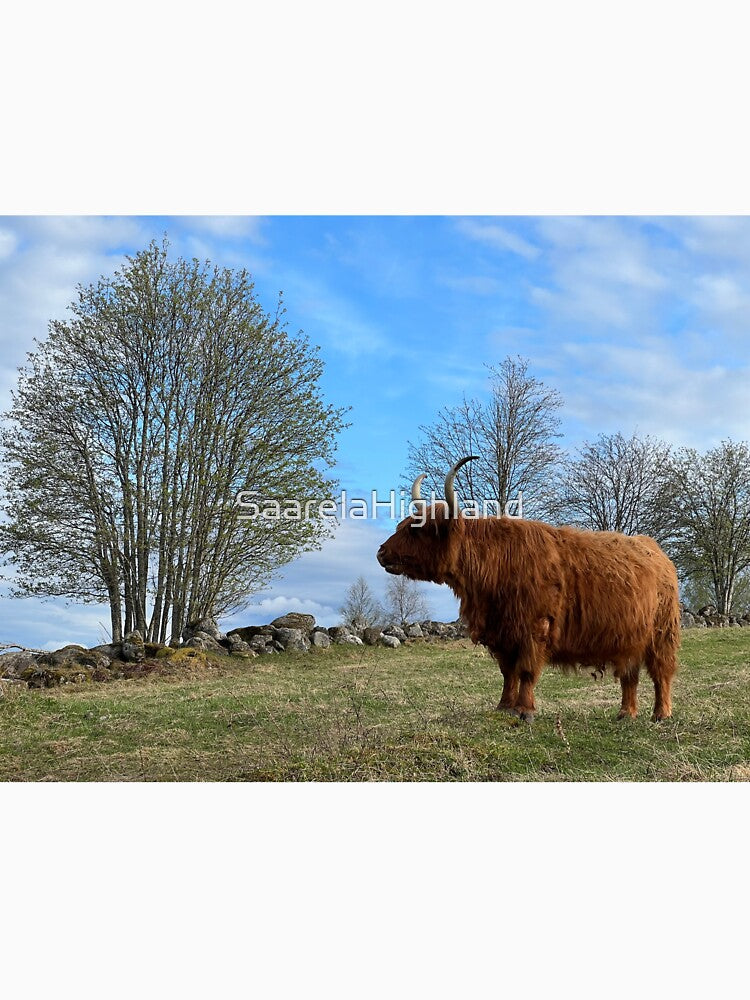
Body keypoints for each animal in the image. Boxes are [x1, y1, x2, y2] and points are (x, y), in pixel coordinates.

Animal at [377, 456, 681, 722]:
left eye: (416, 530)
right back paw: (625, 714)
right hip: (630, 638)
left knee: (661, 673)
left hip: (662, 634)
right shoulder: (502, 633)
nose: (381, 552)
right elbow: (508, 673)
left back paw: (661, 714)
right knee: (630, 675)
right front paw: (504, 707)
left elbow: (525, 671)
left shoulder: (534, 629)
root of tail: (656, 552)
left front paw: (525, 710)